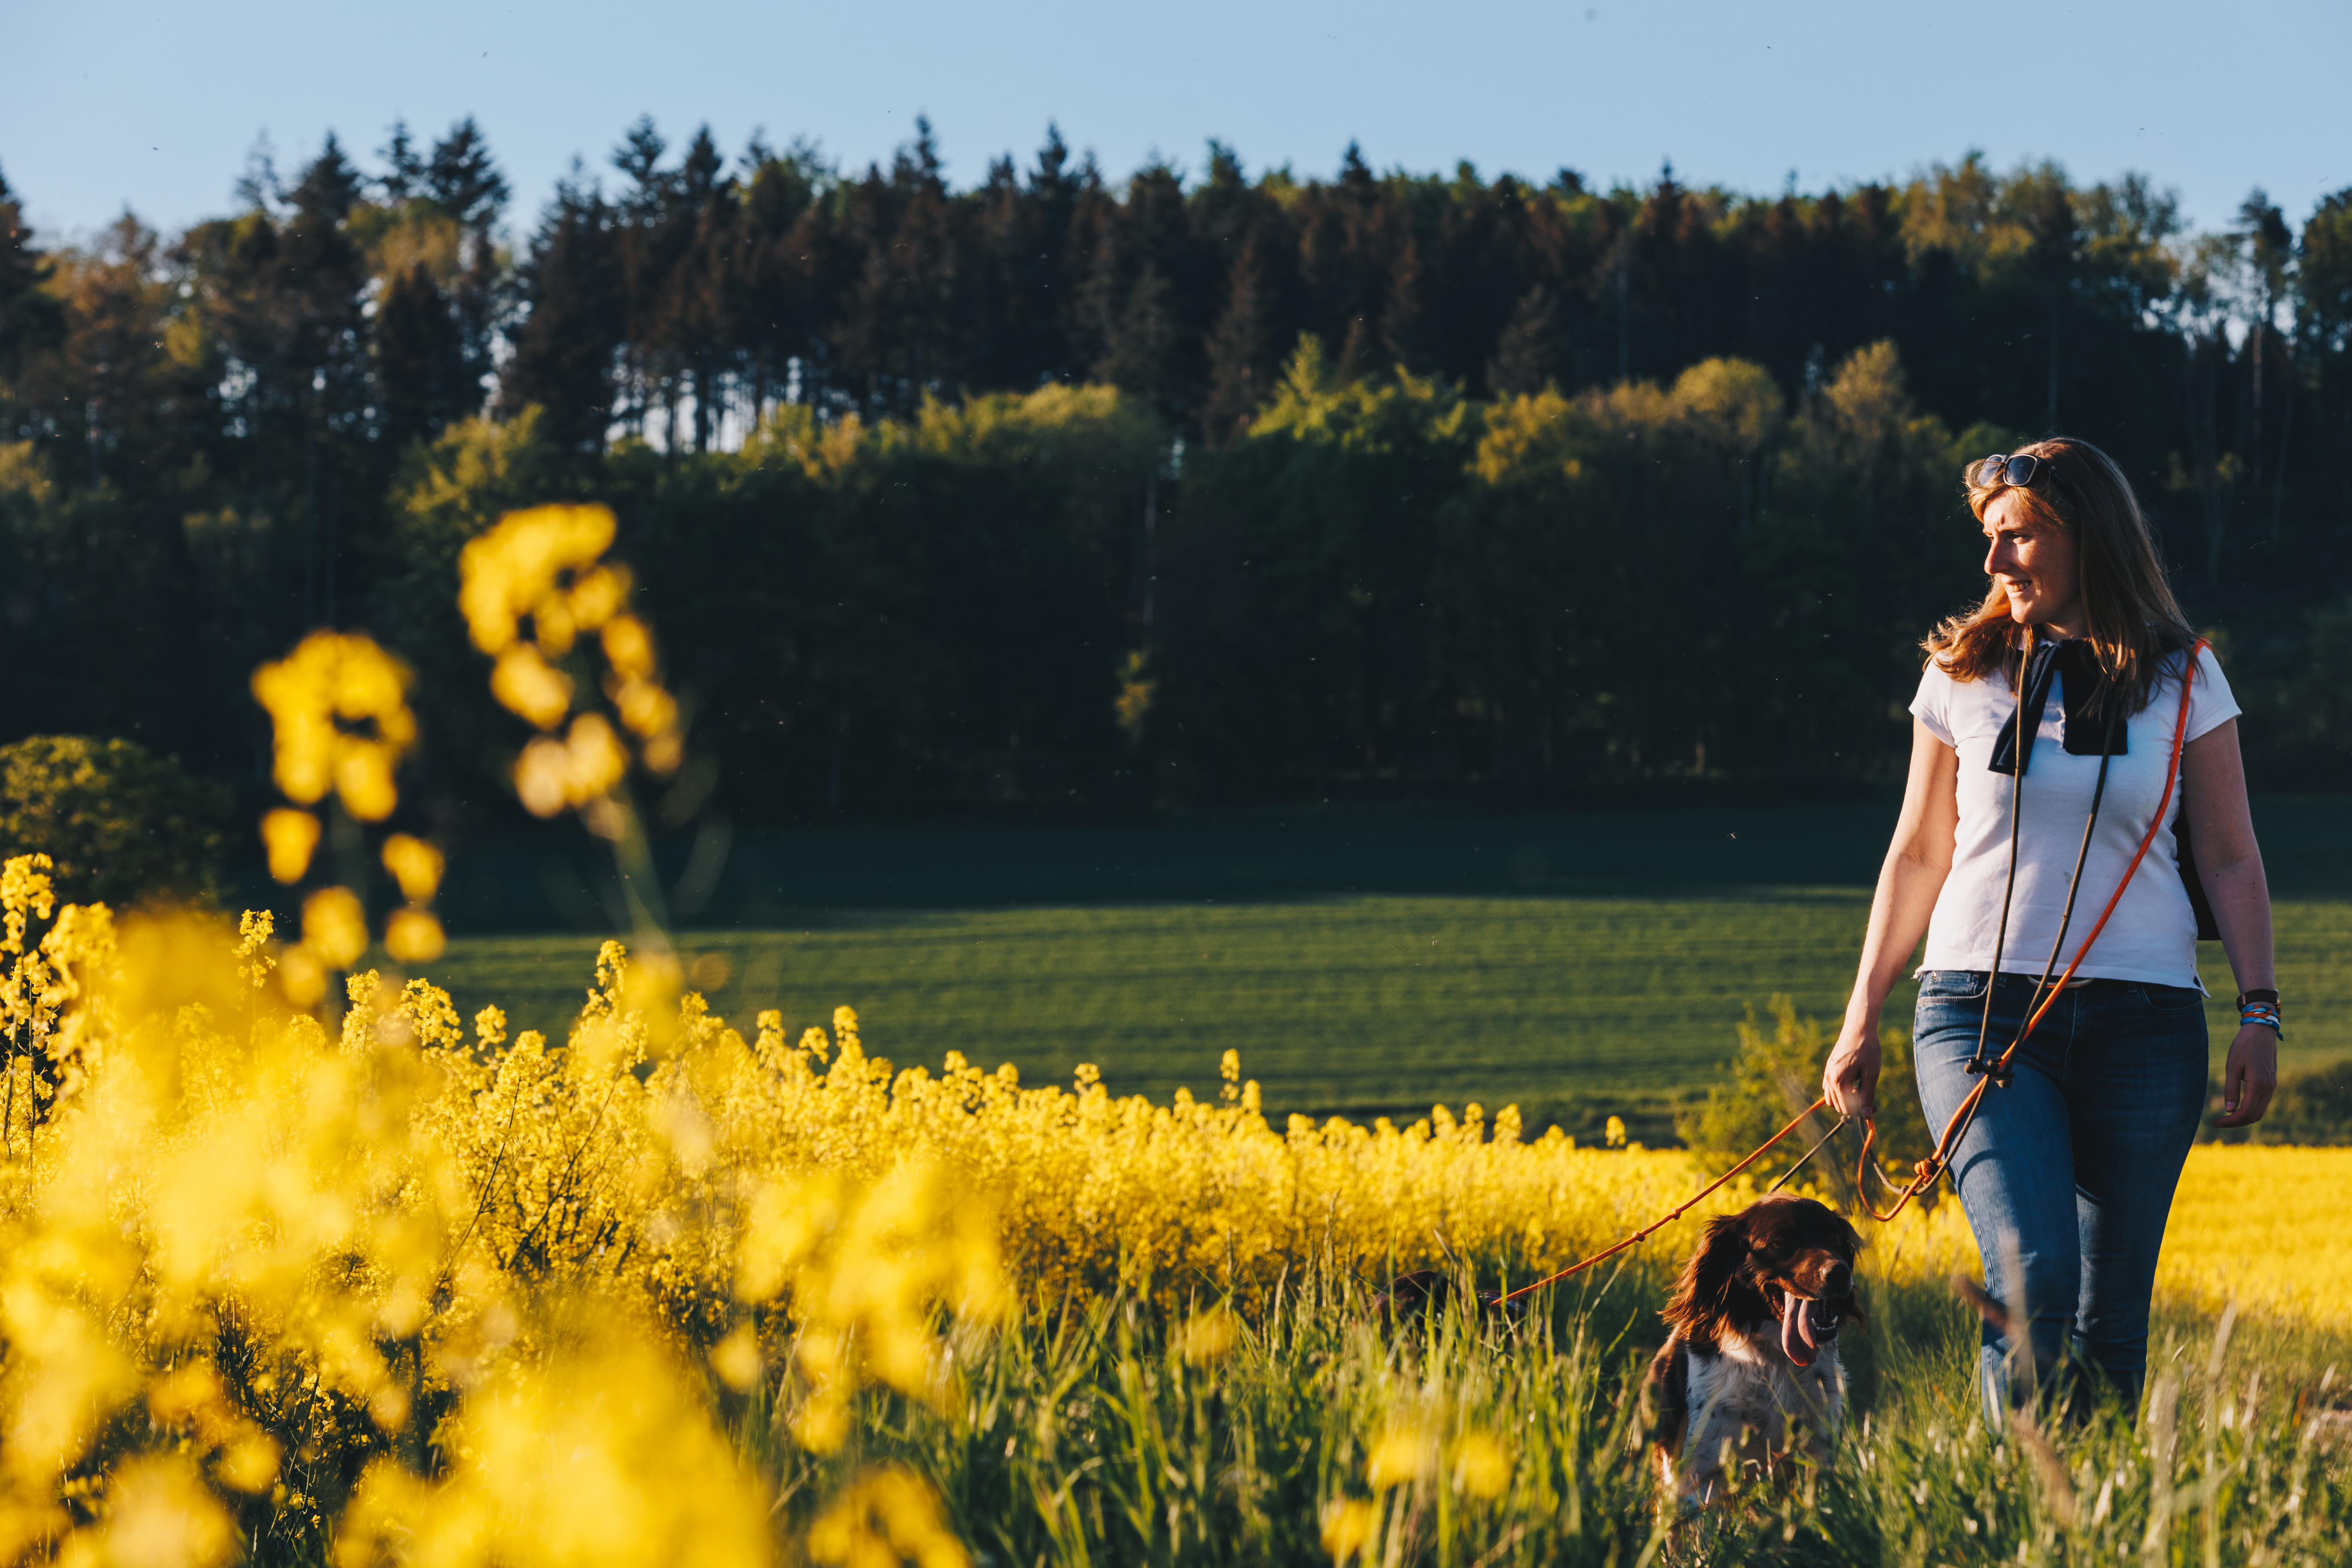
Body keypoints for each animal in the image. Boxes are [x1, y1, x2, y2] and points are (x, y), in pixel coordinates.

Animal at [1646, 1194, 1862, 1514]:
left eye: (1834, 1236)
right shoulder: (1700, 1473)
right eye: (1783, 1240)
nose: (1840, 1273)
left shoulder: (1817, 1455)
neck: (1775, 1362)